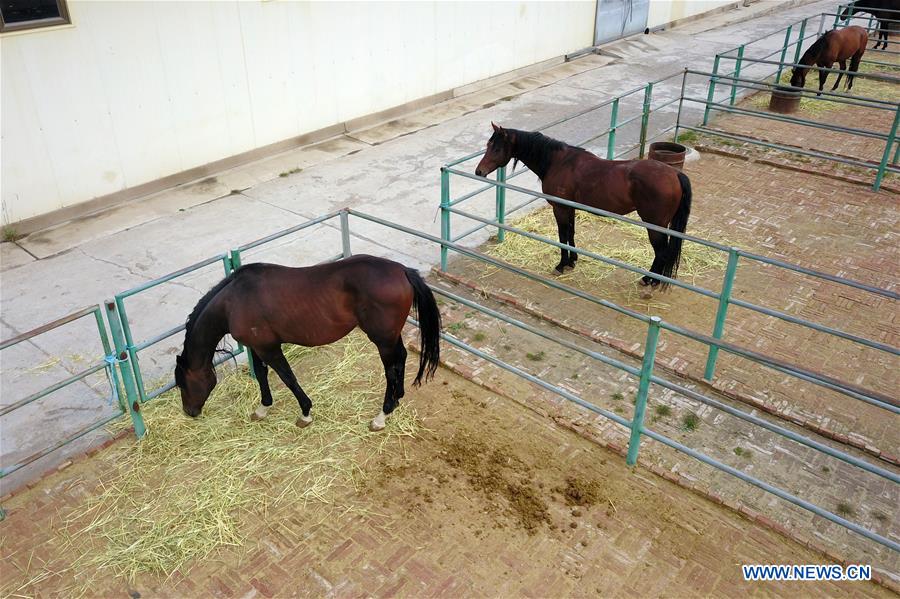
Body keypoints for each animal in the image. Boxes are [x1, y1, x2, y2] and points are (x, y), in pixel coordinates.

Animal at [174, 255, 442, 434]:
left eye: (183, 383)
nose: (189, 412)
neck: (233, 301)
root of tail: (402, 270)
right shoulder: (257, 348)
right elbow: (261, 374)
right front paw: (263, 408)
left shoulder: (270, 349)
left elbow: (288, 378)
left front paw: (305, 413)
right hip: (390, 336)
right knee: (402, 358)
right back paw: (398, 398)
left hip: (382, 339)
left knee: (391, 369)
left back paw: (382, 415)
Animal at [474, 123, 692, 290]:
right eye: (488, 145)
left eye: (496, 148)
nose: (479, 171)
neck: (558, 162)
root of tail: (675, 174)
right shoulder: (569, 209)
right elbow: (571, 233)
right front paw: (572, 261)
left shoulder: (560, 209)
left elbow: (562, 236)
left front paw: (561, 265)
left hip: (654, 225)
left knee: (661, 252)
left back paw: (649, 280)